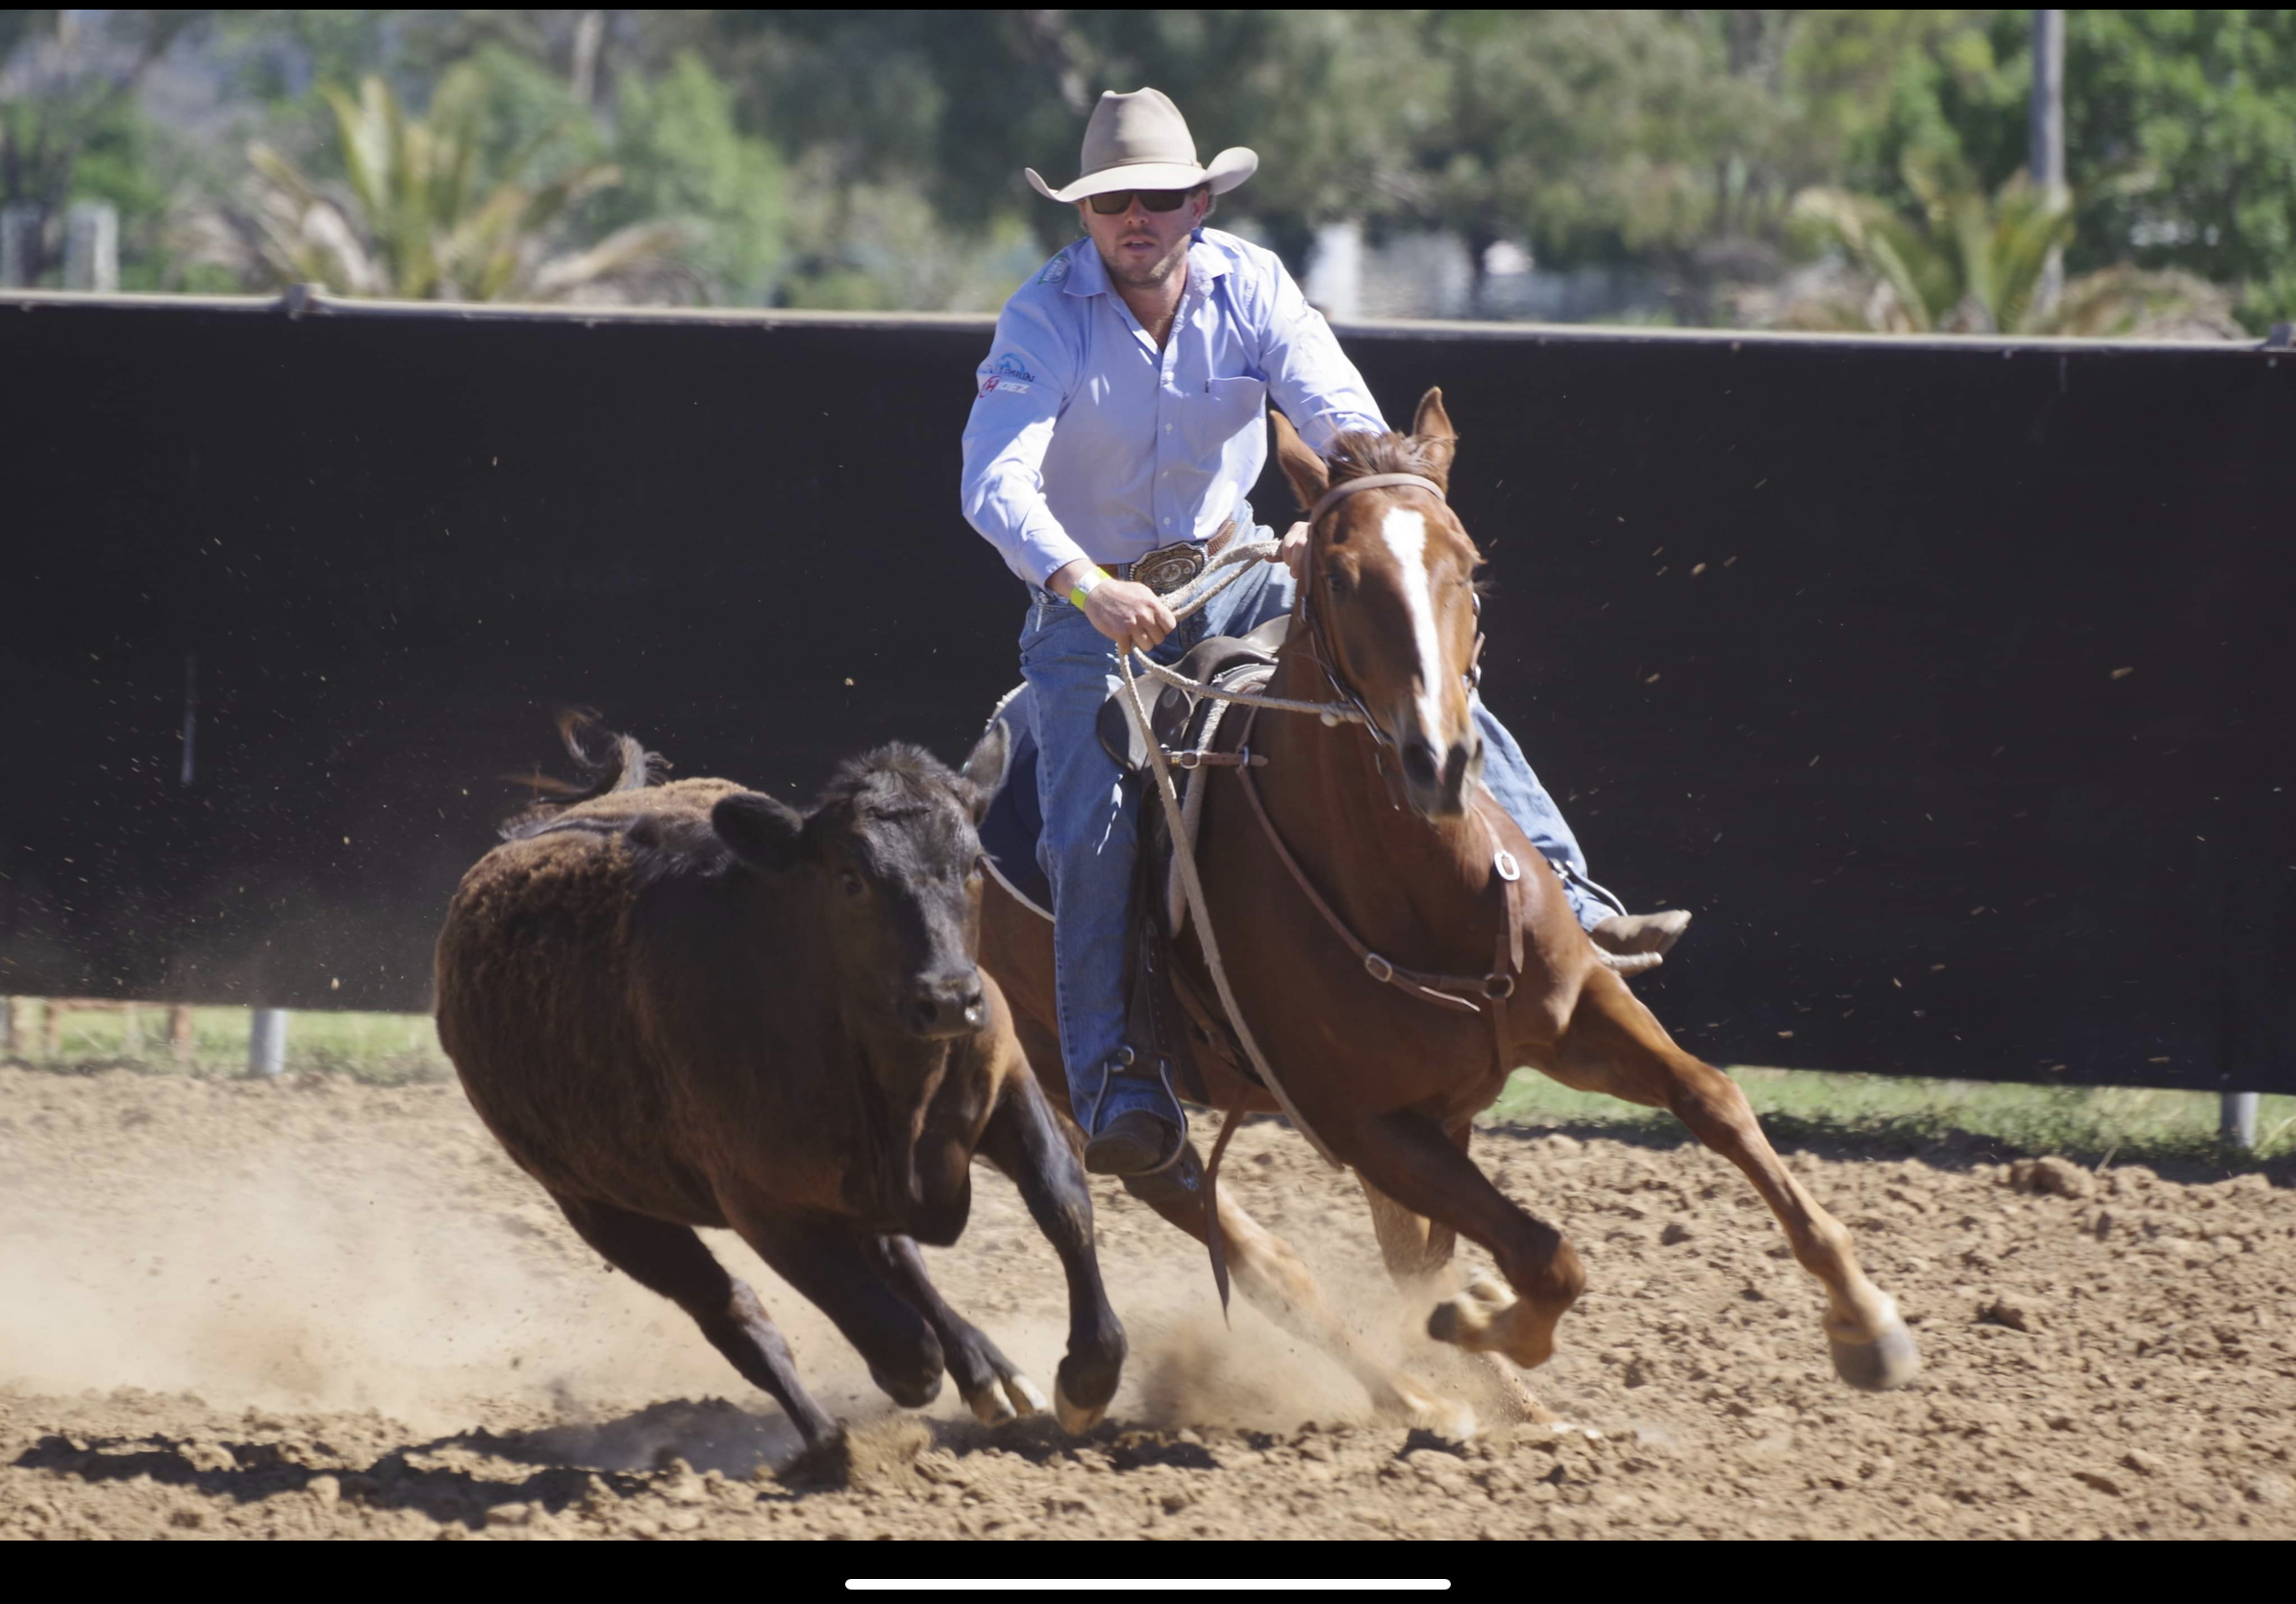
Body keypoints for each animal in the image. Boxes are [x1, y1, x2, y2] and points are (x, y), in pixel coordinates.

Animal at [433, 717, 1125, 1460]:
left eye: (972, 864)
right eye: (851, 879)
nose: (947, 998)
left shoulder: (1006, 1078)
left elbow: (1062, 1200)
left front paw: (1089, 1374)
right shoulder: (762, 1204)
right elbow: (897, 1341)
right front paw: (900, 1385)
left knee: (895, 1258)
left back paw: (987, 1372)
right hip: (597, 1206)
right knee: (737, 1315)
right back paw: (829, 1445)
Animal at [974, 388, 1919, 1434]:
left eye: (1468, 566)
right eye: (1339, 574)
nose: (1438, 760)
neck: (1418, 890)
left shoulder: (1578, 1017)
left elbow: (1715, 1101)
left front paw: (1866, 1321)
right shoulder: (1367, 1124)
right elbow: (1544, 1254)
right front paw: (1486, 1323)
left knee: (1394, 1259)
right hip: (1095, 1099)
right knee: (1261, 1255)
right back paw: (1416, 1396)